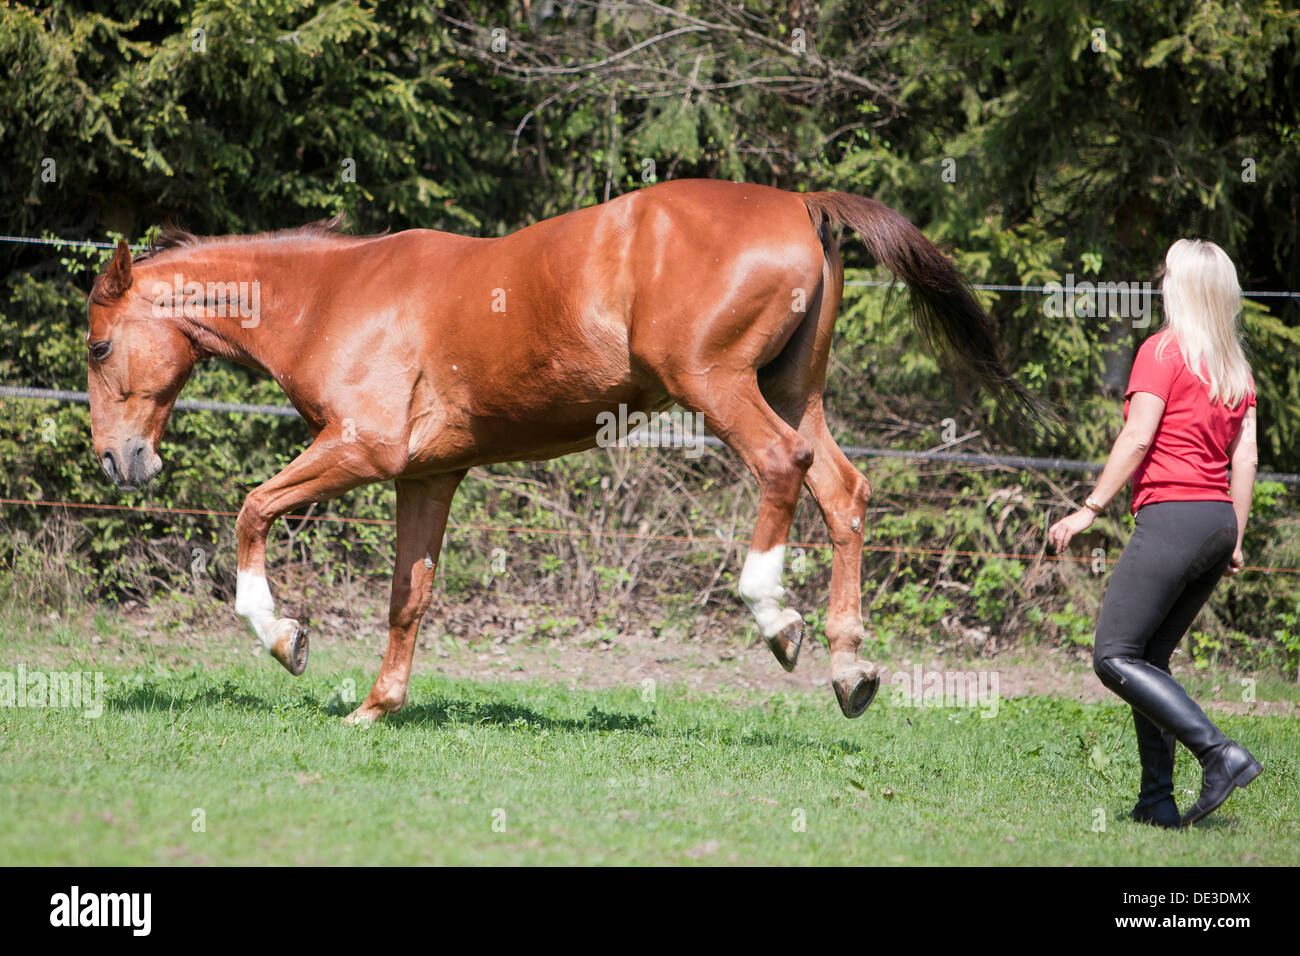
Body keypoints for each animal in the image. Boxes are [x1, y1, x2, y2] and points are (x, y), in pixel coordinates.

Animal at [86, 178, 1043, 722]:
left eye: (97, 348)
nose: (117, 463)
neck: (334, 299)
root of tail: (798, 204)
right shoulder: (428, 476)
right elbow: (409, 596)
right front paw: (375, 709)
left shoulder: (363, 452)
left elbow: (251, 511)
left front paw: (283, 637)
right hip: (790, 391)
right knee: (844, 492)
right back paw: (849, 669)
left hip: (720, 388)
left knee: (783, 469)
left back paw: (775, 615)